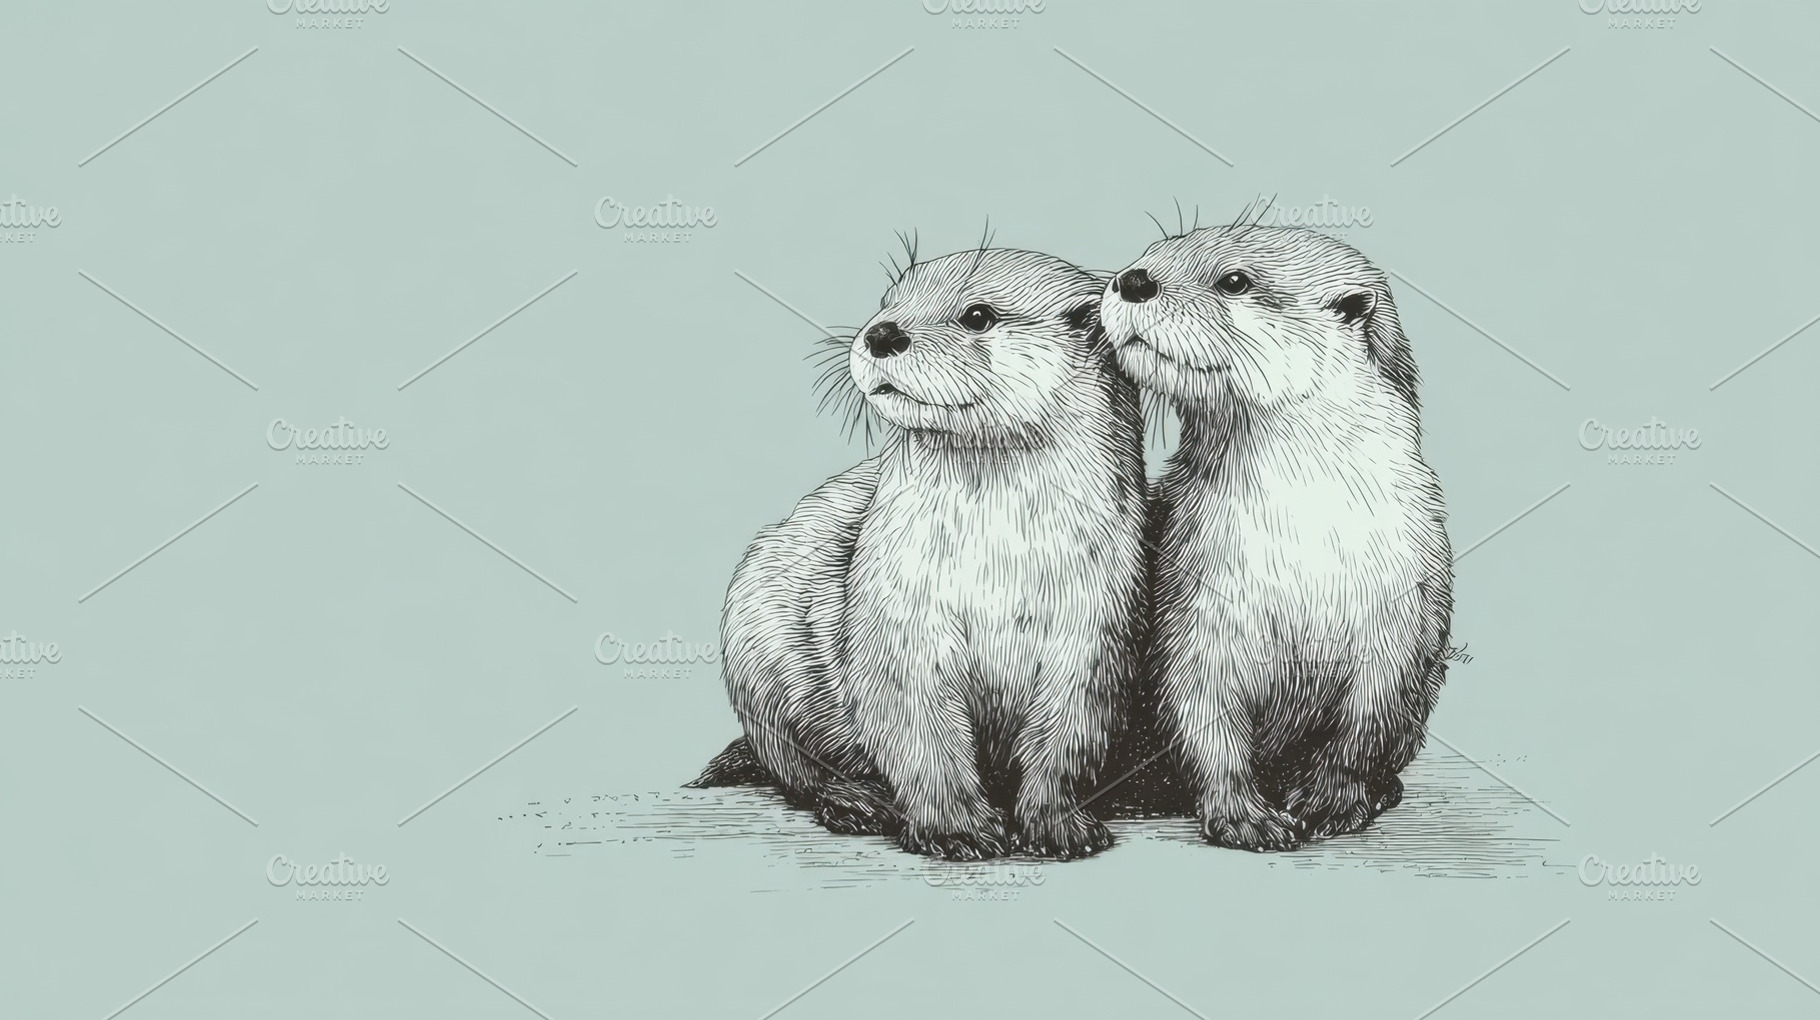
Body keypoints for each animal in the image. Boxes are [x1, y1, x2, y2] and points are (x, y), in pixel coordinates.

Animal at [694, 248, 1150, 861]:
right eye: (887, 301)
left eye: (978, 315)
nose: (882, 333)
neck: (998, 564)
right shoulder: (897, 619)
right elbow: (923, 737)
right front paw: (956, 829)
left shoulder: (1097, 630)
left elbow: (1064, 741)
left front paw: (1059, 825)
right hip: (756, 649)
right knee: (793, 764)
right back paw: (855, 802)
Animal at [1098, 224, 1453, 851]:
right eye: (1155, 250)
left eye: (1235, 280)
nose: (1133, 279)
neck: (1302, 543)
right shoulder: (1189, 608)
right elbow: (1202, 716)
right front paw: (1245, 816)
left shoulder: (1407, 611)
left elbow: (1368, 723)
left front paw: (1332, 800)